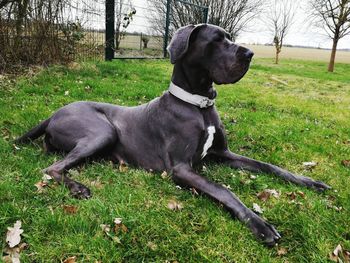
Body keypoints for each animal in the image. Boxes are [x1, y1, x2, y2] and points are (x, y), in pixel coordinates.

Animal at [16, 23, 330, 246]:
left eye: (228, 37)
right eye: (217, 40)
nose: (250, 54)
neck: (199, 104)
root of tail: (53, 113)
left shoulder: (223, 153)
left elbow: (268, 165)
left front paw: (310, 182)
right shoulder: (180, 168)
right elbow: (223, 189)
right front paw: (260, 224)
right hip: (103, 131)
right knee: (51, 168)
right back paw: (77, 187)